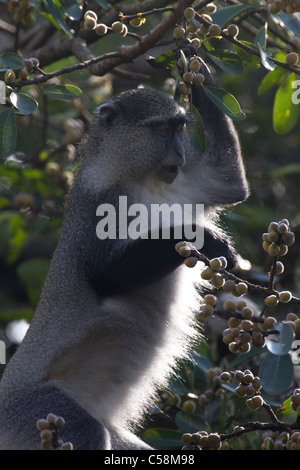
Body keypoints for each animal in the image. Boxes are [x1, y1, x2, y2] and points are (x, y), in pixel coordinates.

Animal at [0, 42, 248, 450]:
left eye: (179, 129)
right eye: (161, 130)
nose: (178, 155)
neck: (143, 178)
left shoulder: (186, 183)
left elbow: (229, 182)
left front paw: (196, 67)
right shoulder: (99, 199)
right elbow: (104, 276)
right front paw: (204, 237)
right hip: (35, 413)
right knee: (86, 430)